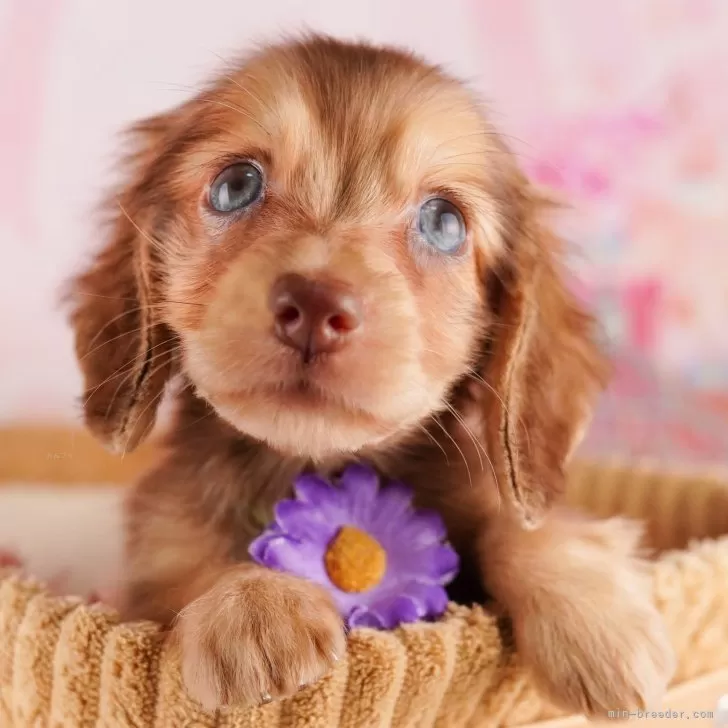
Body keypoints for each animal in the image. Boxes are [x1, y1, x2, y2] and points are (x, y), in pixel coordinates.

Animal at [65, 35, 672, 716]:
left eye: (443, 222)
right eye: (234, 185)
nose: (314, 307)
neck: (312, 463)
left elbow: (519, 523)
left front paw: (594, 617)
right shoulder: (158, 546)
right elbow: (186, 557)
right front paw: (251, 603)